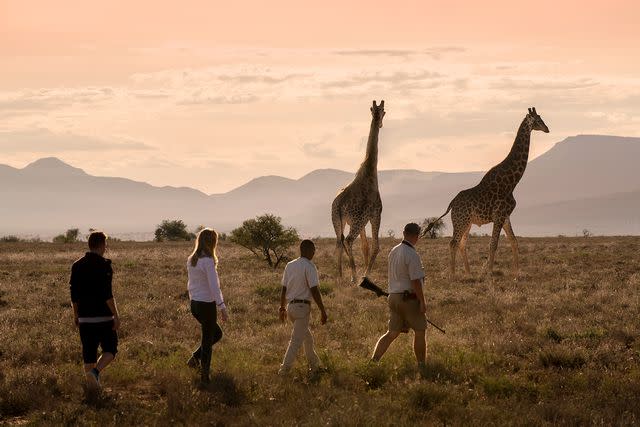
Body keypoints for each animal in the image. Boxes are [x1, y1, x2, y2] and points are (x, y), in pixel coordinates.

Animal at [330, 98, 384, 282]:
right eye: (384, 111)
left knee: (339, 241)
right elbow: (375, 246)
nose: (380, 123)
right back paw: (353, 276)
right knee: (348, 240)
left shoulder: (363, 219)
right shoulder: (375, 214)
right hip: (357, 220)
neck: (369, 170)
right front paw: (366, 274)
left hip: (337, 220)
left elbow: (365, 246)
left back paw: (340, 275)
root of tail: (339, 205)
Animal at [424, 108, 552, 278]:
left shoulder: (505, 216)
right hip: (460, 220)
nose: (547, 129)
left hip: (467, 222)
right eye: (537, 120)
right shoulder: (499, 215)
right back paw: (453, 274)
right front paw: (490, 272)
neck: (511, 182)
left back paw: (468, 273)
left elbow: (514, 242)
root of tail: (451, 203)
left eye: (541, 118)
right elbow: (493, 244)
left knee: (462, 244)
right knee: (453, 243)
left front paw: (516, 273)